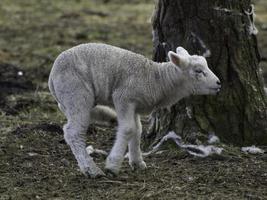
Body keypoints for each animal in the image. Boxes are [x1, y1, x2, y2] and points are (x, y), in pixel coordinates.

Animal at [48, 43, 222, 177]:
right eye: (198, 71)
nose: (219, 83)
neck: (157, 80)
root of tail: (51, 76)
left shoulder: (135, 105)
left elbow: (137, 130)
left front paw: (137, 162)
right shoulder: (123, 97)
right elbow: (128, 129)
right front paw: (112, 166)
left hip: (71, 100)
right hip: (77, 95)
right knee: (73, 132)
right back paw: (91, 170)